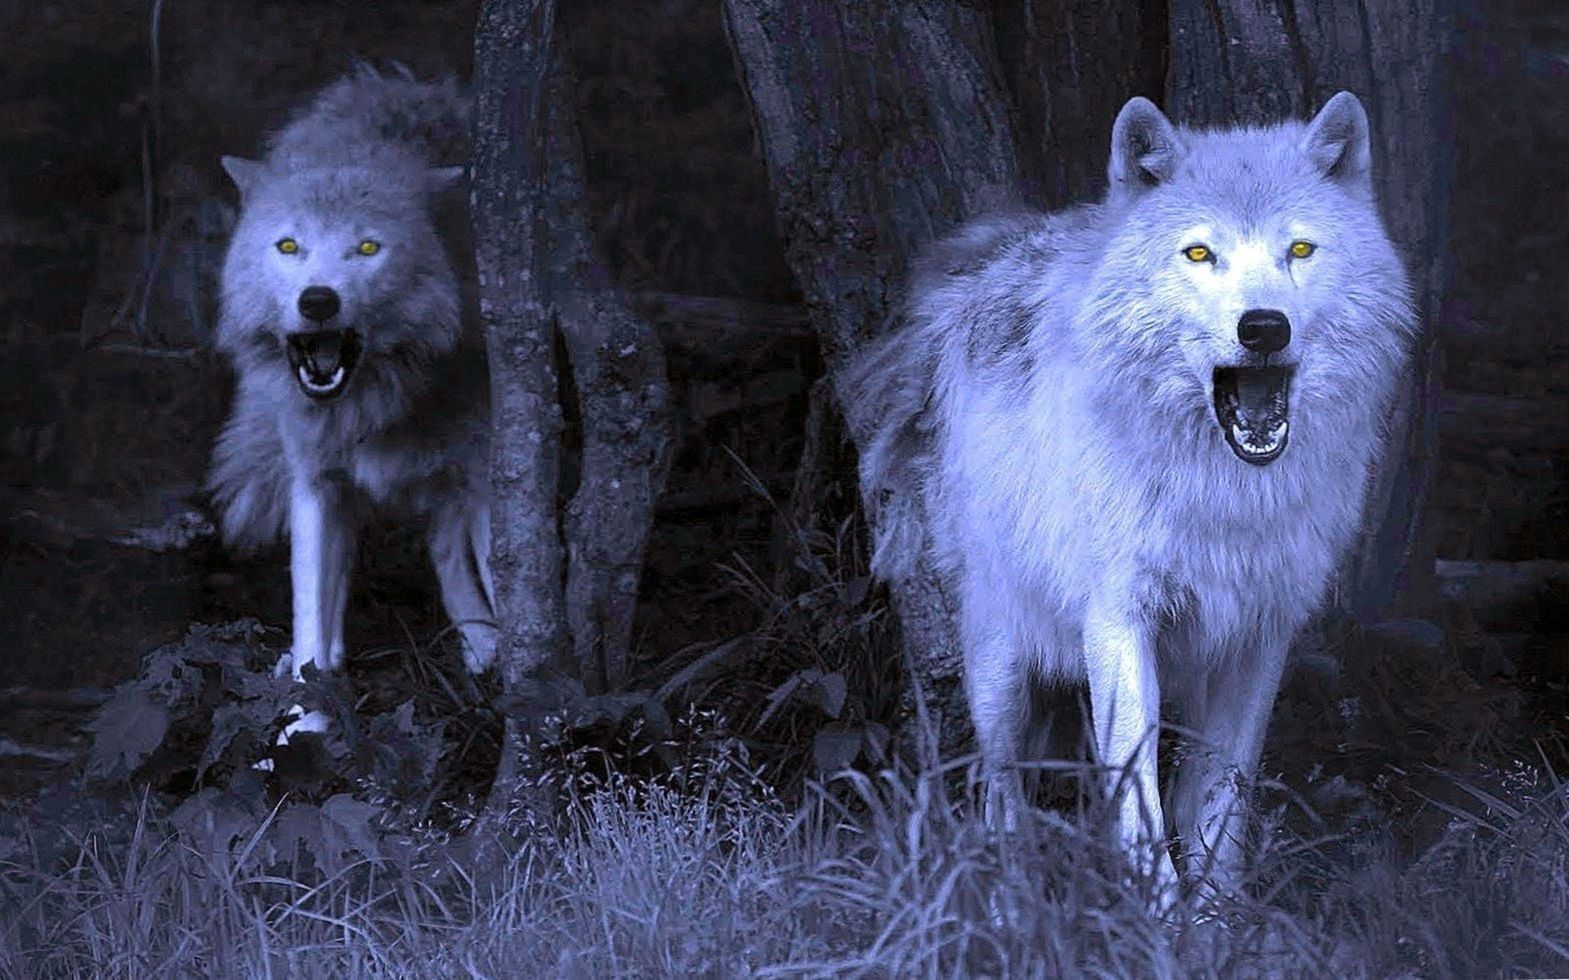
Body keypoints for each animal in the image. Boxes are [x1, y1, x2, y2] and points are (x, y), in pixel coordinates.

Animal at [207, 65, 497, 690]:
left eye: (367, 248)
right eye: (289, 245)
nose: (318, 301)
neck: (375, 405)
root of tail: (398, 85)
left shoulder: (489, 477)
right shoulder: (316, 484)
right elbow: (311, 621)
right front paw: (304, 710)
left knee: (447, 550)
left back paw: (481, 644)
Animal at [841, 92, 1415, 895]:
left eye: (1299, 251)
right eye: (1199, 254)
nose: (1263, 327)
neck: (1222, 492)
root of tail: (1004, 249)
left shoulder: (1260, 635)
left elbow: (1219, 804)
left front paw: (1215, 915)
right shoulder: (1117, 618)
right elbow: (1139, 806)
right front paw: (1160, 915)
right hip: (999, 652)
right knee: (999, 788)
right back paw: (1012, 894)